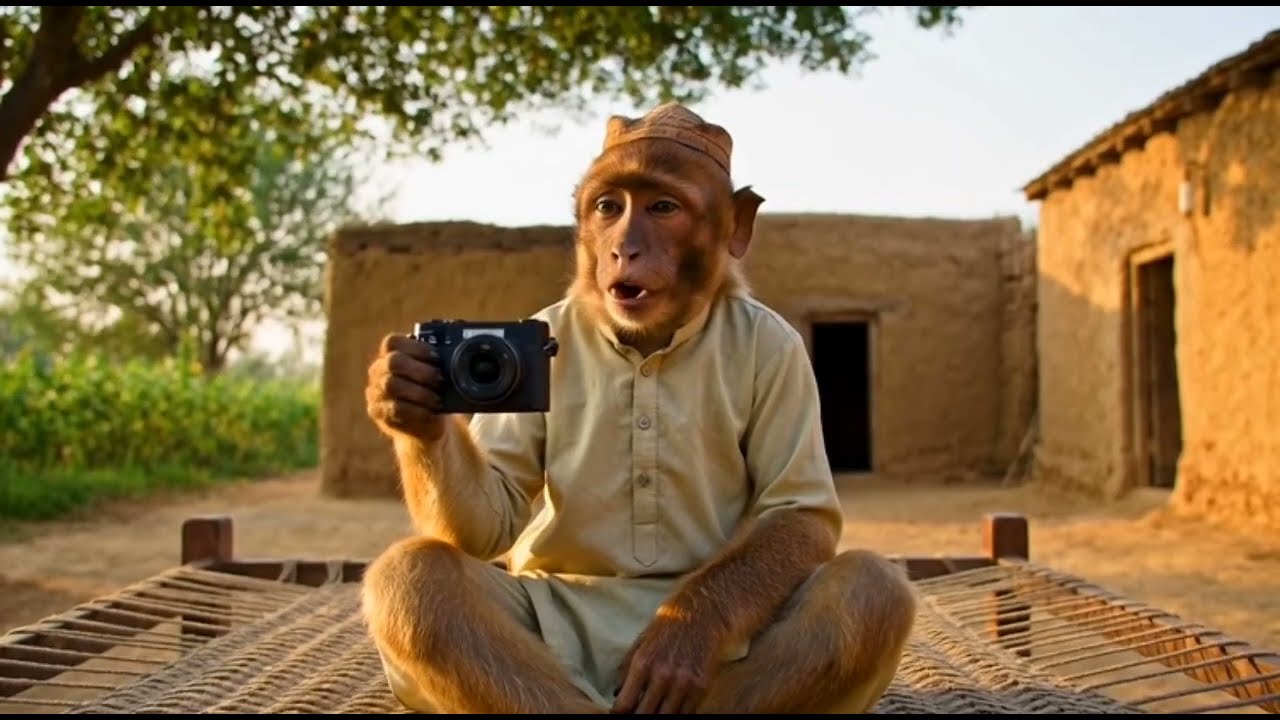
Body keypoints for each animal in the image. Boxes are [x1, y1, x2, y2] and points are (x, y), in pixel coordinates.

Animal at [361, 102, 918, 714]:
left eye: (662, 208)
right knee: (417, 578)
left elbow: (796, 512)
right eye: (609, 207)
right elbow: (491, 517)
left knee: (868, 589)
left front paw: (683, 634)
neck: (648, 341)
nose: (622, 248)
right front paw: (404, 399)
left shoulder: (784, 348)